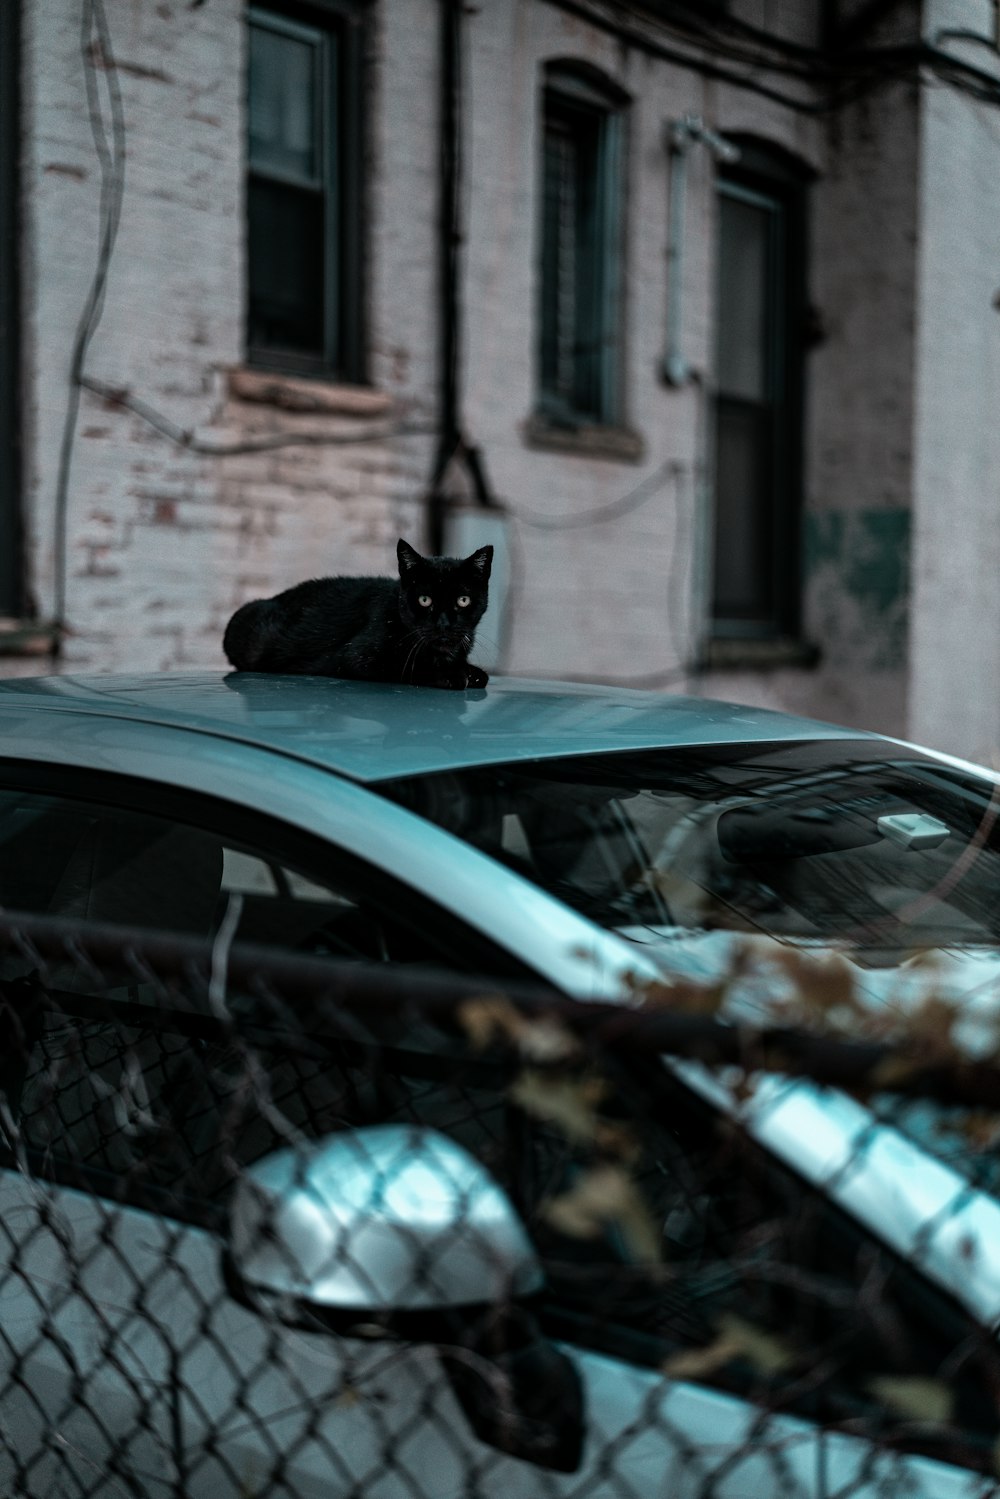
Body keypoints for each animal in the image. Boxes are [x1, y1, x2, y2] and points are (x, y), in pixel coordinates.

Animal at [224, 539, 494, 689]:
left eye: (463, 600)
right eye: (424, 600)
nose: (444, 624)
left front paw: (470, 671)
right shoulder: (357, 657)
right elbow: (405, 667)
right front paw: (451, 675)